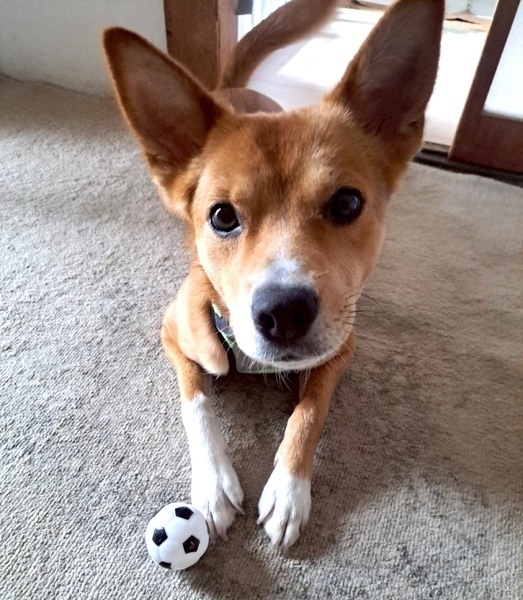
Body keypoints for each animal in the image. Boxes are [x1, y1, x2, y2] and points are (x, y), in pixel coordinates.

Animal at [103, 0, 443, 549]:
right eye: (222, 216)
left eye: (347, 203)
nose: (284, 313)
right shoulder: (172, 332)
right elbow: (196, 403)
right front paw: (213, 482)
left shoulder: (341, 347)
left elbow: (309, 413)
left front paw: (288, 488)